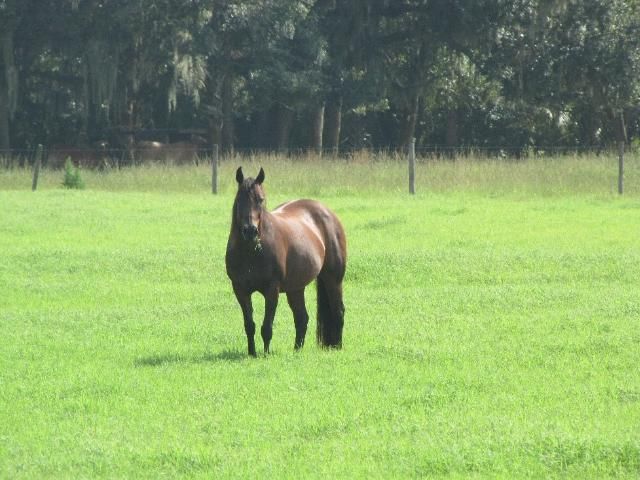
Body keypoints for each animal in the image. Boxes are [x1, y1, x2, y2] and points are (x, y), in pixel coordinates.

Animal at [225, 167, 347, 357]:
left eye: (260, 199)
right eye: (239, 199)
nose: (250, 231)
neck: (251, 251)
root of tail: (327, 213)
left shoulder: (272, 289)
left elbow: (266, 327)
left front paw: (266, 354)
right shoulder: (240, 290)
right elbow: (249, 325)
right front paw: (252, 353)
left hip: (333, 279)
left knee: (338, 311)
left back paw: (337, 347)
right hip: (295, 288)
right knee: (302, 318)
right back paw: (297, 350)